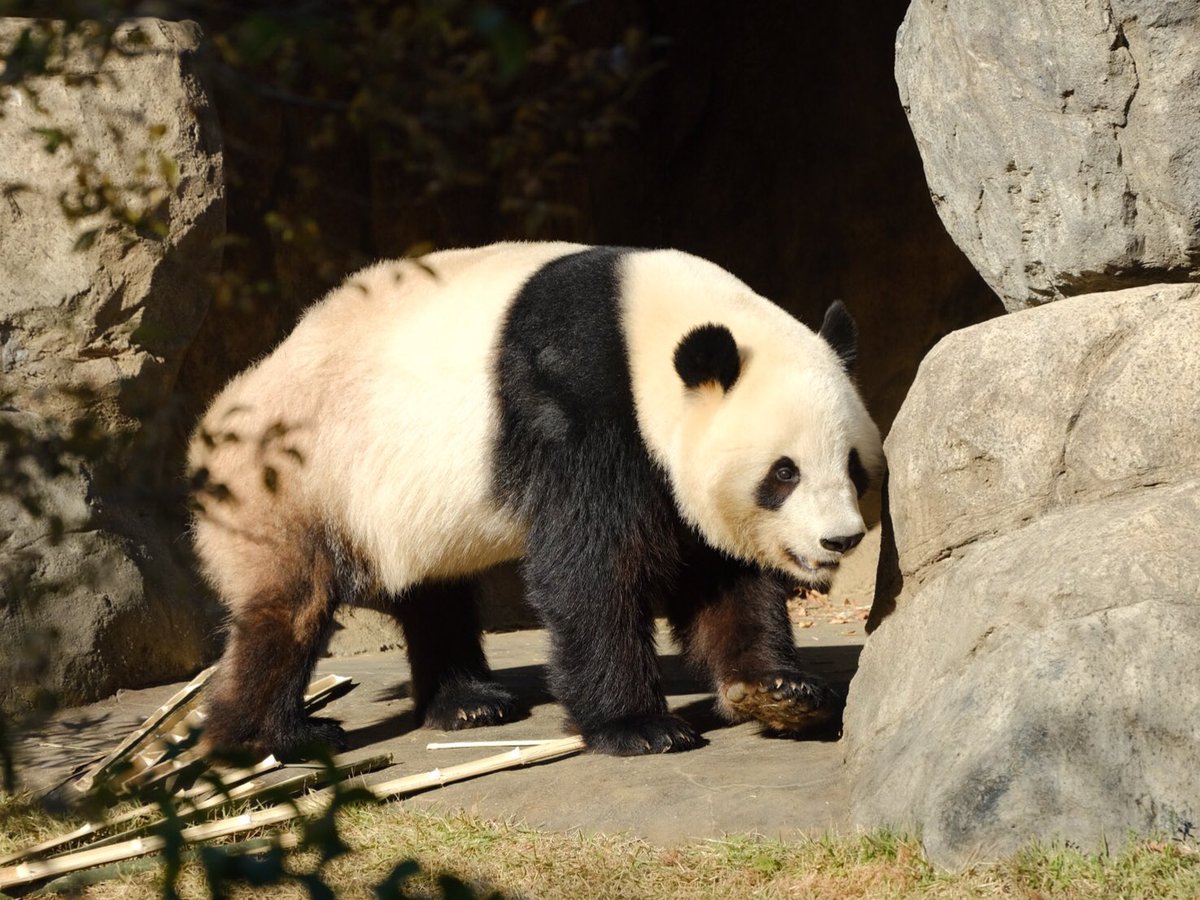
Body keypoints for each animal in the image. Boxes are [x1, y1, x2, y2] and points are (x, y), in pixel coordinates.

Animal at [188, 242, 884, 758]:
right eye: (784, 472)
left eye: (853, 466)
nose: (840, 539)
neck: (646, 327)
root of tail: (220, 414)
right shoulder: (581, 399)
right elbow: (591, 564)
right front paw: (639, 727)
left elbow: (722, 571)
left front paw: (778, 690)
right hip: (294, 478)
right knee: (287, 607)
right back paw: (269, 737)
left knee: (433, 594)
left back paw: (467, 702)